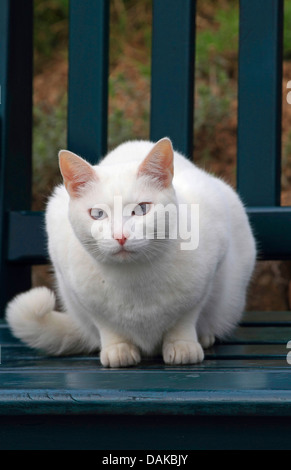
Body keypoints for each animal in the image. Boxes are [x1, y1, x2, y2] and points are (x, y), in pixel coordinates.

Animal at [6, 139, 256, 368]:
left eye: (142, 209)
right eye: (98, 214)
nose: (120, 236)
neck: (135, 280)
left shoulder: (208, 270)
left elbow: (185, 318)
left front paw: (182, 345)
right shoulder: (83, 296)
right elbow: (106, 324)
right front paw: (118, 348)